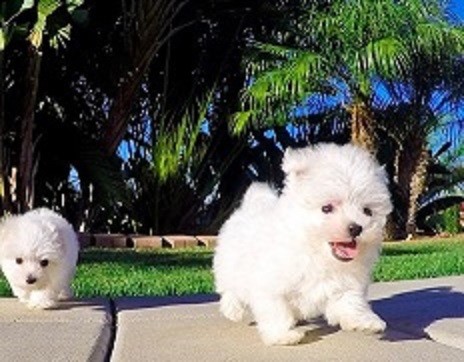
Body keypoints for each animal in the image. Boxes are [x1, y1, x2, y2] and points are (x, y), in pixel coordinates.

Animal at [213, 142, 392, 346]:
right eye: (326, 208)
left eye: (367, 211)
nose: (356, 228)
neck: (315, 252)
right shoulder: (270, 285)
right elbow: (276, 311)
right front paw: (282, 335)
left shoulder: (344, 284)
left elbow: (350, 302)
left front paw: (365, 322)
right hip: (228, 265)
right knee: (229, 289)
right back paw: (232, 309)